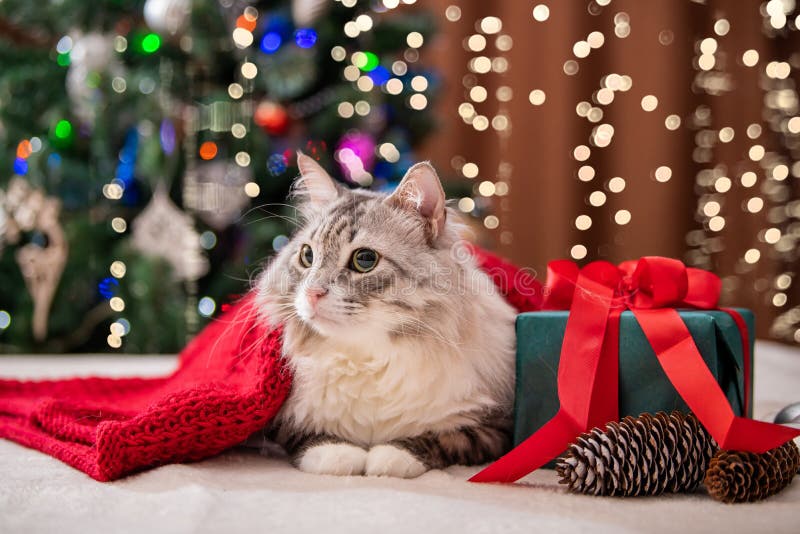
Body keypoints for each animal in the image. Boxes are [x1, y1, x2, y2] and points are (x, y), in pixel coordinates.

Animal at [256, 153, 520, 480]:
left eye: (364, 260)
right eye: (307, 256)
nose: (312, 294)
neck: (368, 357)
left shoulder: (496, 426)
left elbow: (446, 437)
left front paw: (388, 458)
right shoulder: (281, 420)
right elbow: (307, 436)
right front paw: (339, 454)